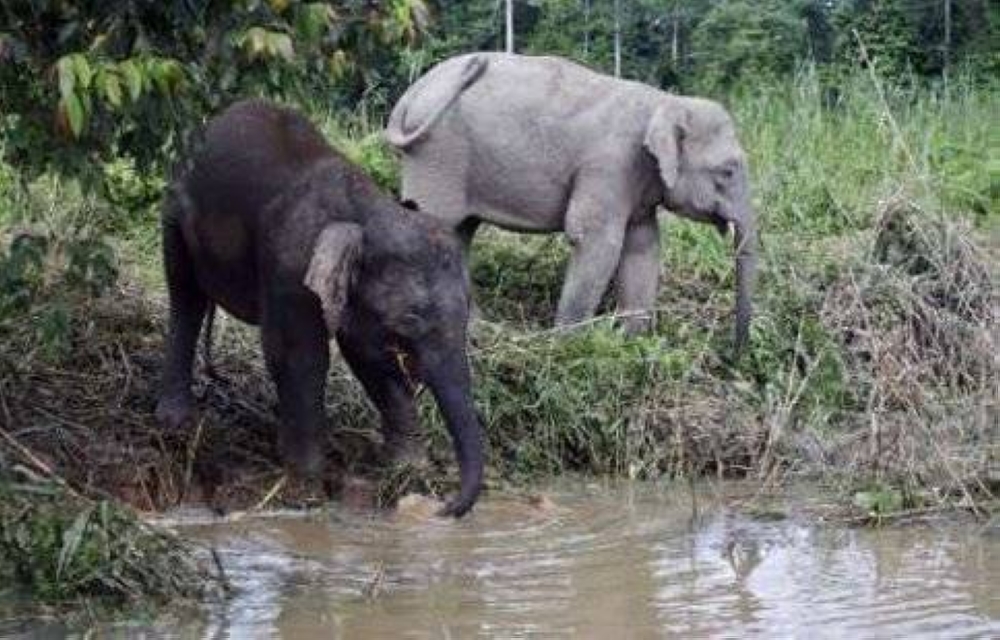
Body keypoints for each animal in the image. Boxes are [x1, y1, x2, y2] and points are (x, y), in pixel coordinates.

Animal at [155, 99, 483, 517]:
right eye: (410, 319)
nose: (443, 507)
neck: (367, 211)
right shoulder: (291, 269)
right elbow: (298, 356)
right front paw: (307, 484)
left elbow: (369, 357)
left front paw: (408, 470)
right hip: (175, 210)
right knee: (185, 295)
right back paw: (176, 422)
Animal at [385, 53, 757, 351]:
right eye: (727, 171)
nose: (732, 354)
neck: (664, 101)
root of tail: (411, 94)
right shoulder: (609, 165)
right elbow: (595, 241)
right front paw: (568, 345)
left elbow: (643, 246)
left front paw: (630, 343)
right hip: (436, 155)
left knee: (460, 233)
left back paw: (477, 329)